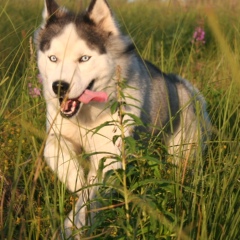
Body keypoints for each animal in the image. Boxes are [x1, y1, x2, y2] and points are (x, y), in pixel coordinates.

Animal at [34, 0, 209, 237]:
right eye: (53, 58)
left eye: (84, 58)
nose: (59, 86)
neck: (86, 115)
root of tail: (183, 86)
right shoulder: (57, 132)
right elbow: (53, 149)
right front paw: (76, 179)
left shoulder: (110, 153)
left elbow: (90, 196)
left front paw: (73, 226)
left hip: (182, 151)